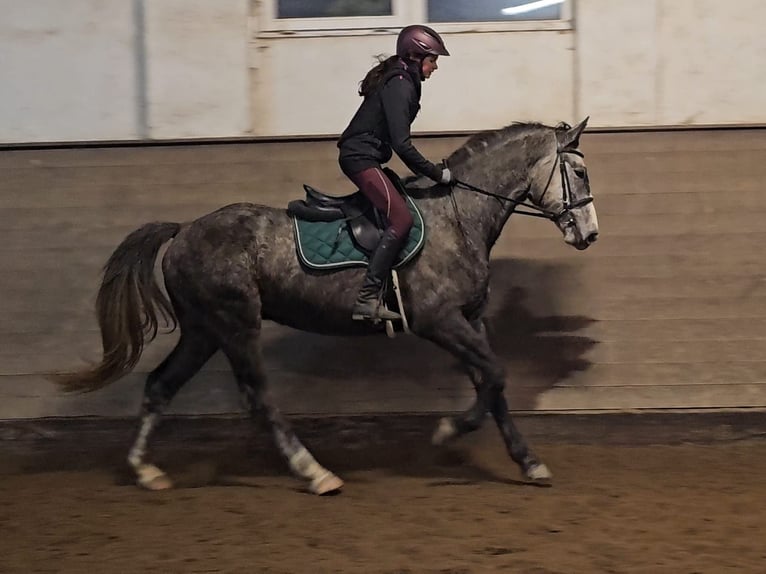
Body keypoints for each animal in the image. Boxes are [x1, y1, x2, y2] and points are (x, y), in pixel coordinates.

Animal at [57, 118, 604, 496]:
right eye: (578, 171)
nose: (590, 234)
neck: (459, 216)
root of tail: (184, 229)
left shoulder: (470, 320)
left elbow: (493, 385)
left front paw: (528, 462)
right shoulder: (439, 321)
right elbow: (494, 375)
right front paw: (448, 431)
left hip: (203, 330)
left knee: (160, 386)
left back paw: (146, 471)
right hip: (235, 325)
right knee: (257, 399)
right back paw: (316, 473)